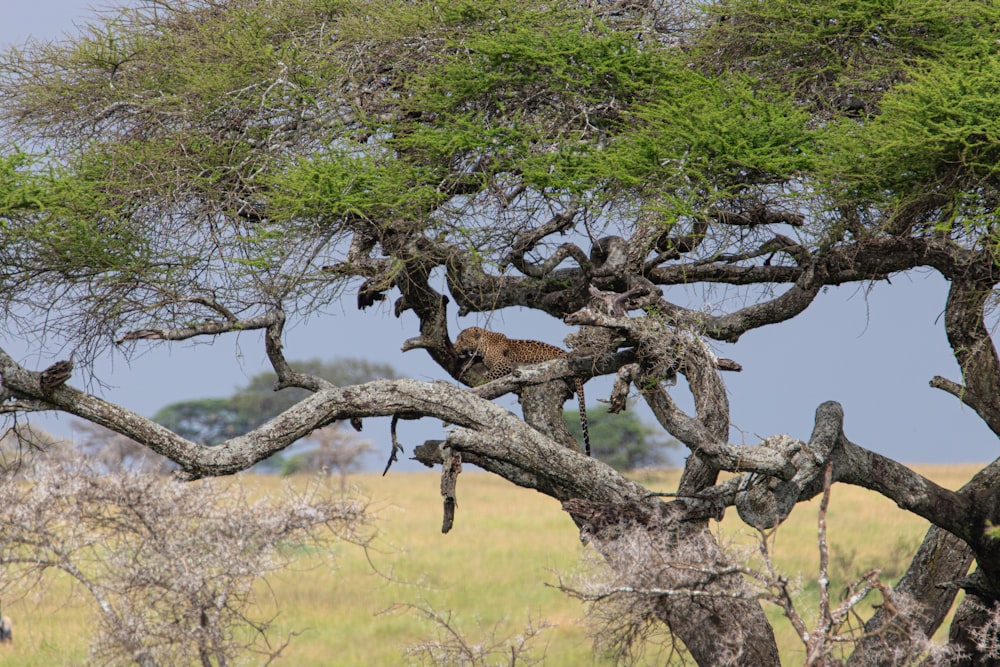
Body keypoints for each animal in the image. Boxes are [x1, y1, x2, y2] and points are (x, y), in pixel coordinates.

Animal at [452, 326, 588, 456]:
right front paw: (466, 364)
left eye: (462, 339)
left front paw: (479, 384)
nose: (454, 347)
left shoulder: (503, 364)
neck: (483, 344)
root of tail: (567, 355)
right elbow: (474, 359)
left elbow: (487, 377)